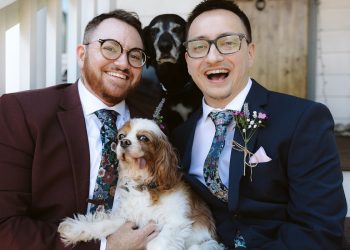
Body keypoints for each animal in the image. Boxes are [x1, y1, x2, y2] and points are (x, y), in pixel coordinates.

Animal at [57, 118, 221, 249]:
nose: (124, 142)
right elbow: (104, 224)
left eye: (143, 138)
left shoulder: (176, 222)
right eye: (121, 136)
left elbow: (157, 245)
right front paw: (75, 229)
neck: (144, 185)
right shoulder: (130, 217)